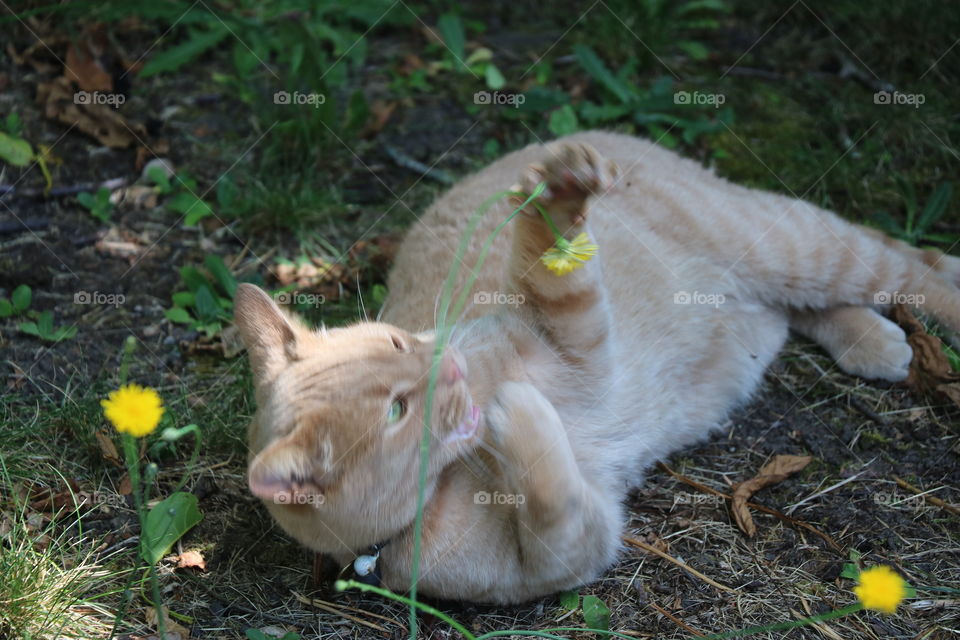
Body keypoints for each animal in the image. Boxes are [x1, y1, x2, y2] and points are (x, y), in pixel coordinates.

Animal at [234, 131, 960, 604]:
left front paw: (556, 195)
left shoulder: (565, 330)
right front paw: (519, 417)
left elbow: (549, 256)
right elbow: (553, 506)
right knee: (804, 307)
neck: (454, 481)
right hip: (776, 279)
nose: (451, 366)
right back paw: (875, 340)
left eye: (392, 342)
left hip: (789, 244)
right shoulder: (578, 546)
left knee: (915, 265)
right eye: (396, 410)